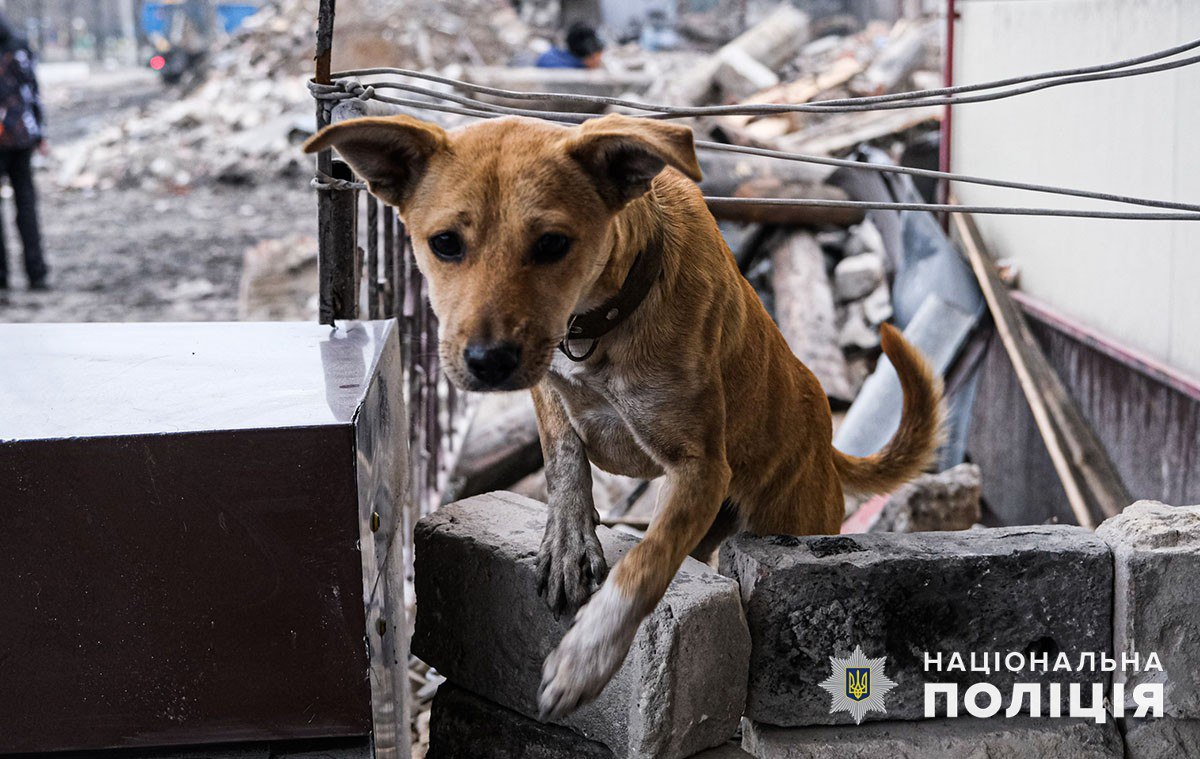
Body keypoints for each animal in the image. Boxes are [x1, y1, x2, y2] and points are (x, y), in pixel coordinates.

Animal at [304, 115, 940, 720]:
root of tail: (825, 442)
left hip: (785, 516)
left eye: (553, 243)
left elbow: (646, 564)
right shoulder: (549, 385)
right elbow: (564, 456)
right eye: (445, 243)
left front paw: (585, 660)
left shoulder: (701, 470)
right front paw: (568, 539)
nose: (488, 362)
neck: (601, 319)